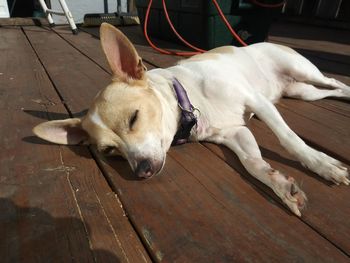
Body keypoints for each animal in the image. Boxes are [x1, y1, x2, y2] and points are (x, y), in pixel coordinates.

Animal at [33, 23, 350, 217]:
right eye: (110, 152)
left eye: (134, 118)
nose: (142, 171)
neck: (191, 101)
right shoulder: (236, 133)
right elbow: (253, 164)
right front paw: (282, 185)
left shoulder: (257, 102)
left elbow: (290, 140)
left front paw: (322, 165)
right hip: (303, 92)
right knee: (332, 89)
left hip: (300, 70)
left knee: (334, 80)